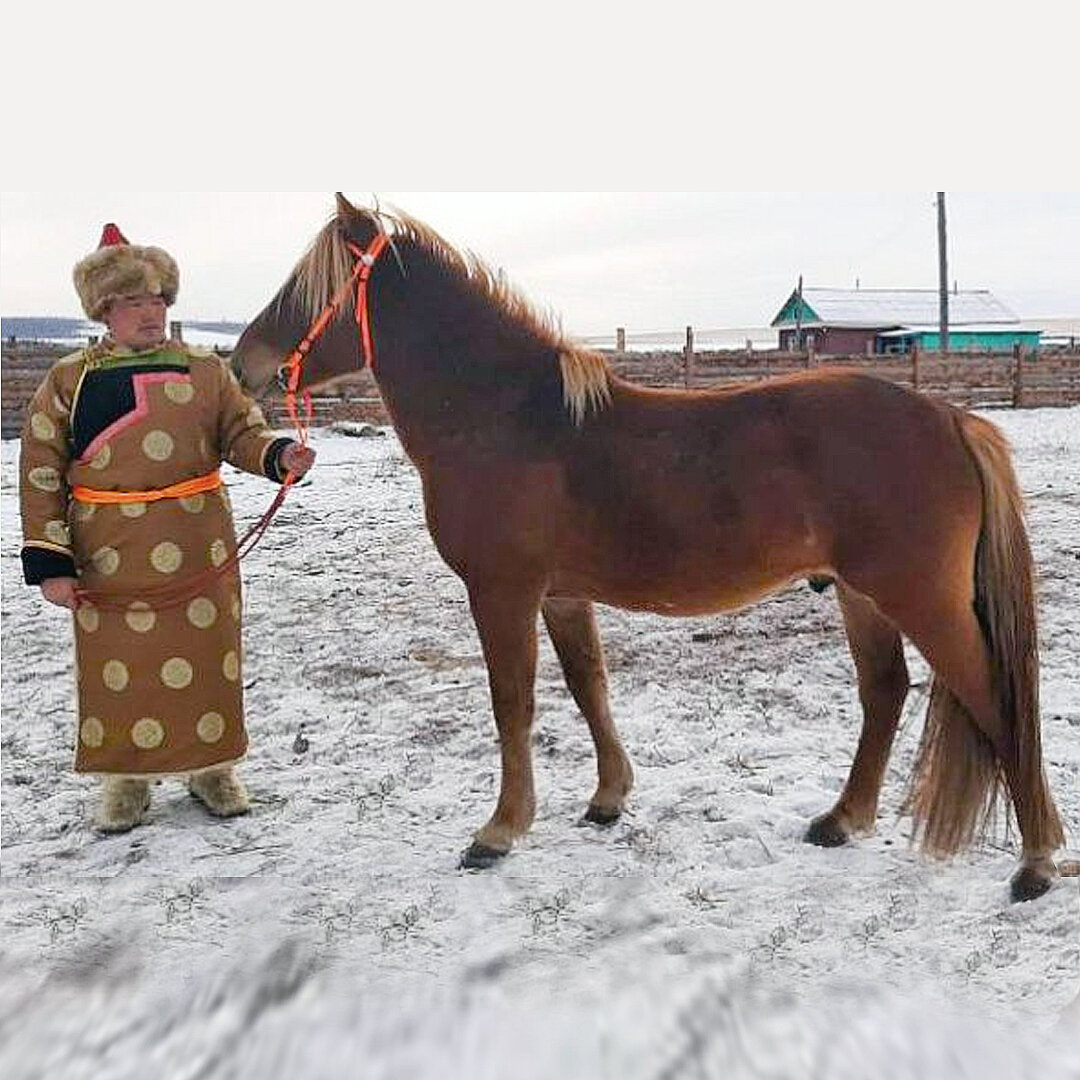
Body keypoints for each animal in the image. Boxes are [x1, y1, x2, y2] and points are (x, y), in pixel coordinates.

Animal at [230, 192, 1062, 902]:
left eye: (304, 289)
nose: (241, 363)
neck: (509, 419)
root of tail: (951, 418)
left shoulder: (502, 591)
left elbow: (513, 701)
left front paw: (499, 831)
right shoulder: (563, 595)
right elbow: (588, 687)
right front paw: (608, 799)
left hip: (920, 597)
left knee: (995, 697)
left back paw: (1035, 863)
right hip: (861, 595)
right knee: (885, 691)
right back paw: (842, 820)